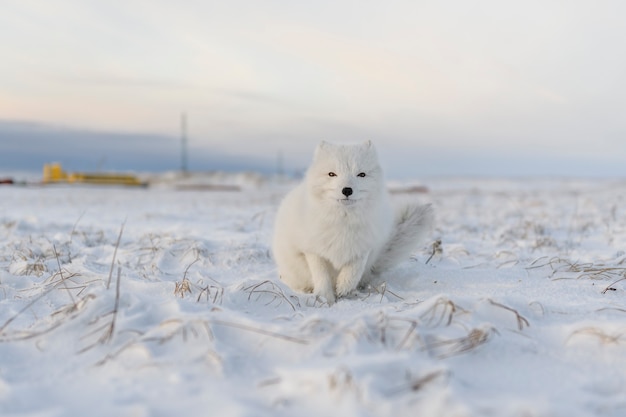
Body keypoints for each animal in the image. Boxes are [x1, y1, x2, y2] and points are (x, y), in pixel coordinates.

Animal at [270, 140, 432, 302]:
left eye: (361, 174)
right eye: (332, 174)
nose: (347, 190)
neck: (343, 221)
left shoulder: (364, 247)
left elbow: (354, 270)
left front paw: (343, 288)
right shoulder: (313, 251)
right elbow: (321, 276)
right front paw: (325, 299)